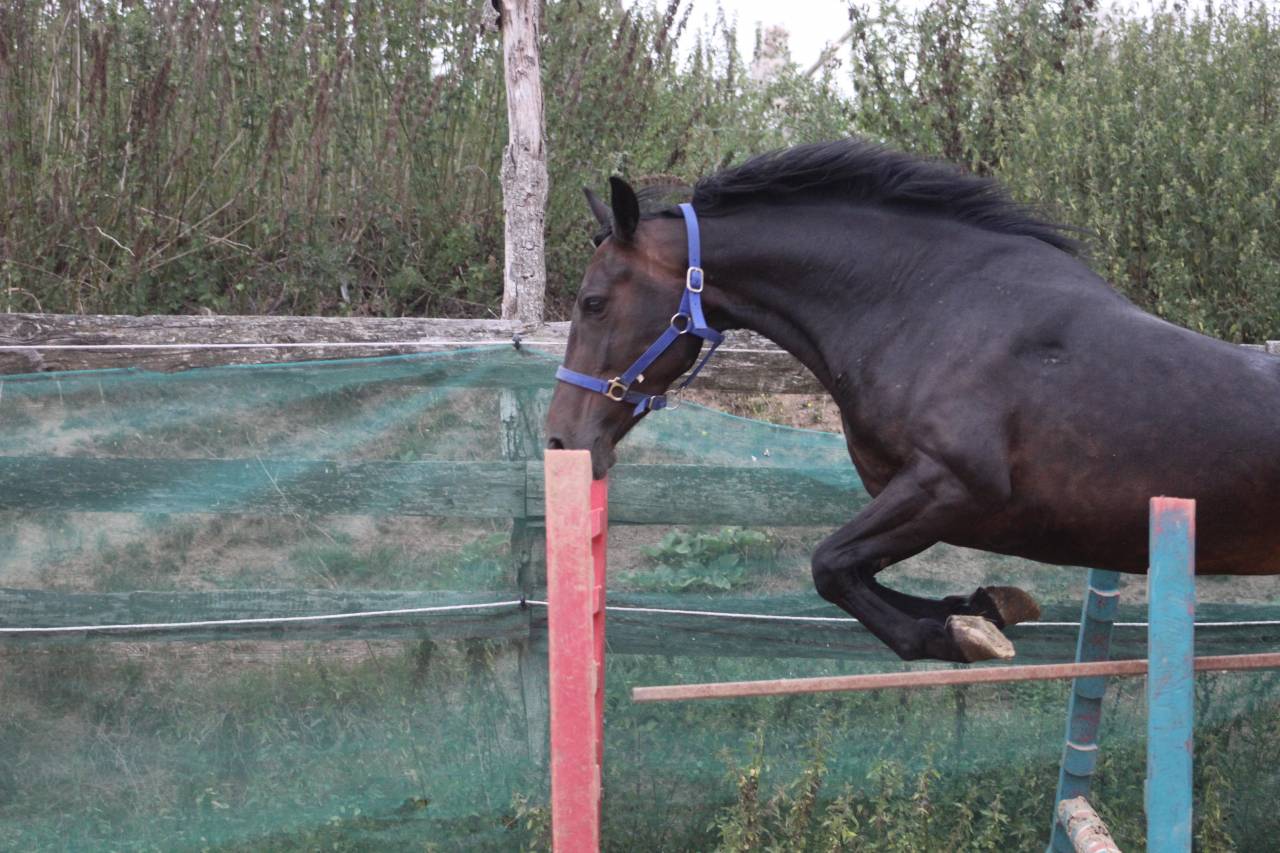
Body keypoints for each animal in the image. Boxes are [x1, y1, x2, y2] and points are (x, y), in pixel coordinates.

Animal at [544, 139, 1280, 663]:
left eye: (594, 302)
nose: (560, 440)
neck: (927, 308)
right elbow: (858, 574)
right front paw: (981, 608)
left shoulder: (953, 486)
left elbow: (829, 565)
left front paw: (961, 633)